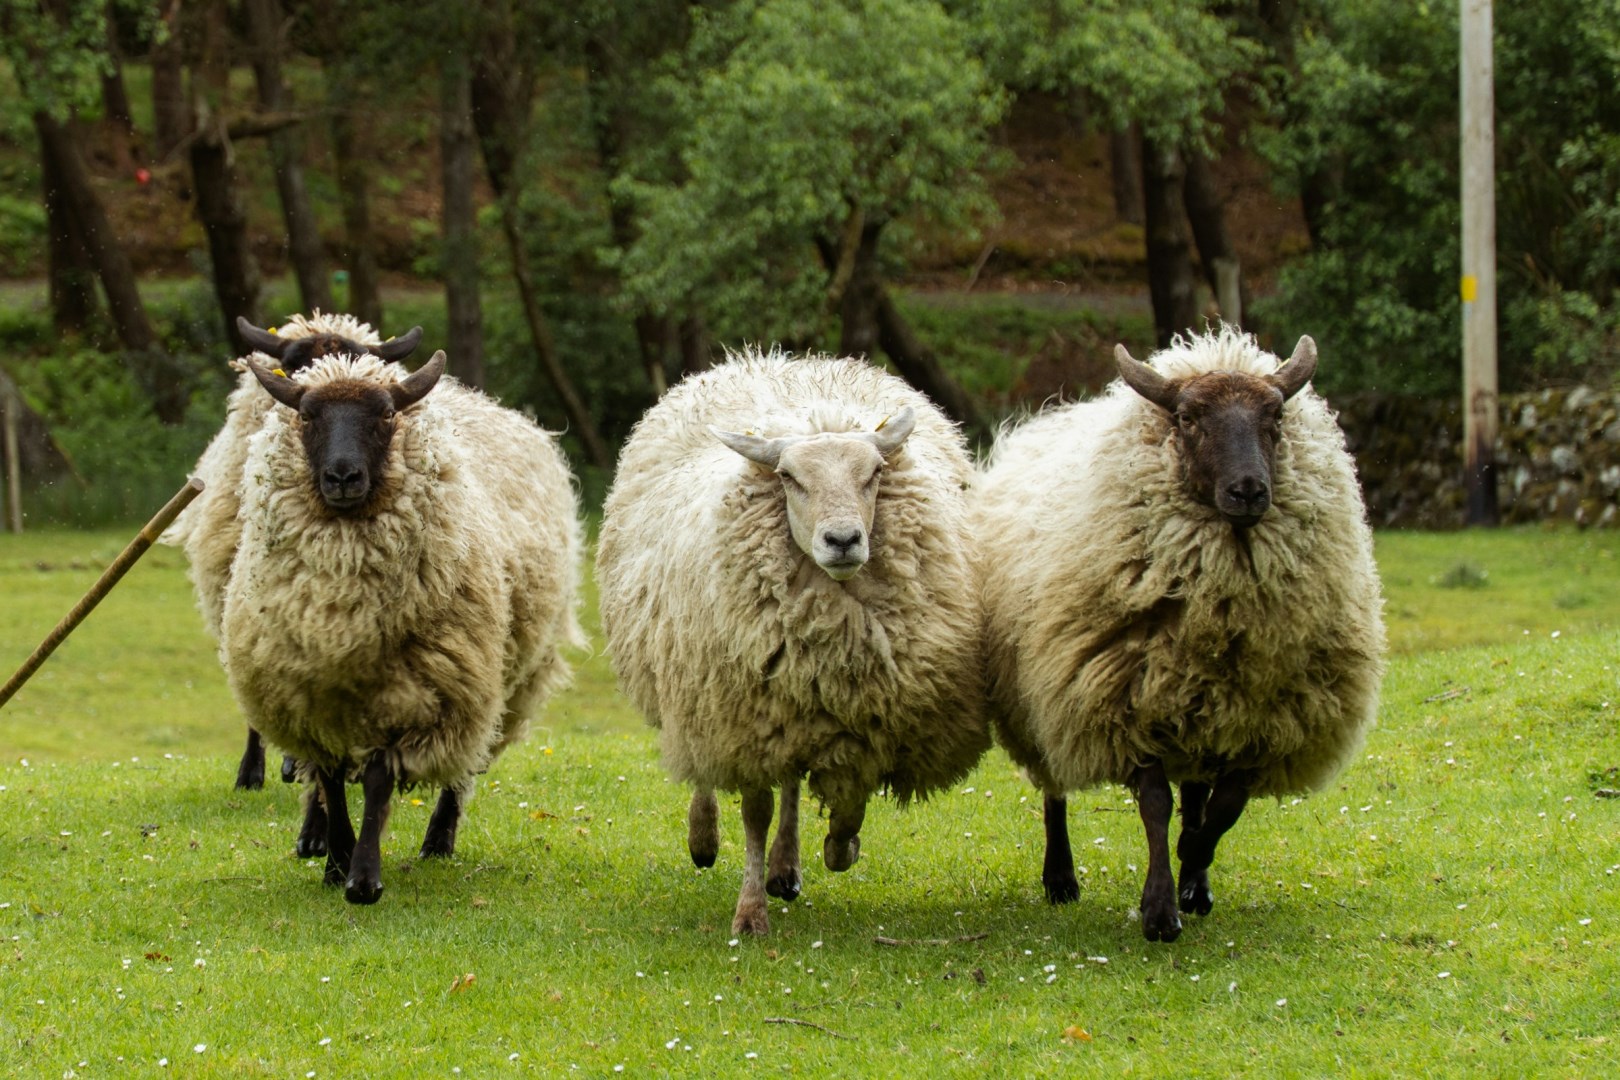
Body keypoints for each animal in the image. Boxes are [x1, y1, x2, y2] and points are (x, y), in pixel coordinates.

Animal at [218, 348, 583, 904]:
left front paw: (363, 878)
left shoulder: (410, 695)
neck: (340, 610)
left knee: (466, 763)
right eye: (307, 416)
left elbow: (376, 780)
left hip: (489, 680)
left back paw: (439, 839)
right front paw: (336, 860)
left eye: (387, 415)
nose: (342, 477)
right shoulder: (311, 698)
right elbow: (329, 779)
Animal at [596, 347, 991, 935]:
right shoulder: (743, 718)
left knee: (790, 784)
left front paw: (839, 847)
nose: (843, 540)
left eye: (874, 473)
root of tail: (772, 360)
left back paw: (788, 866)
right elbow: (755, 812)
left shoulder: (856, 721)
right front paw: (749, 912)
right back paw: (704, 838)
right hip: (696, 687)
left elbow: (847, 797)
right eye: (788, 477)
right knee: (705, 768)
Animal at [974, 326, 1385, 942]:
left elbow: (1224, 808)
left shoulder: (1262, 723)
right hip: (1045, 700)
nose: (1249, 491)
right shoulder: (1126, 701)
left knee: (1196, 792)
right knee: (1054, 789)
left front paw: (1193, 865)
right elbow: (1155, 807)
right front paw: (1159, 911)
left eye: (1276, 416)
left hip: (1202, 710)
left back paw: (1196, 879)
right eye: (1188, 418)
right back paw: (1061, 877)